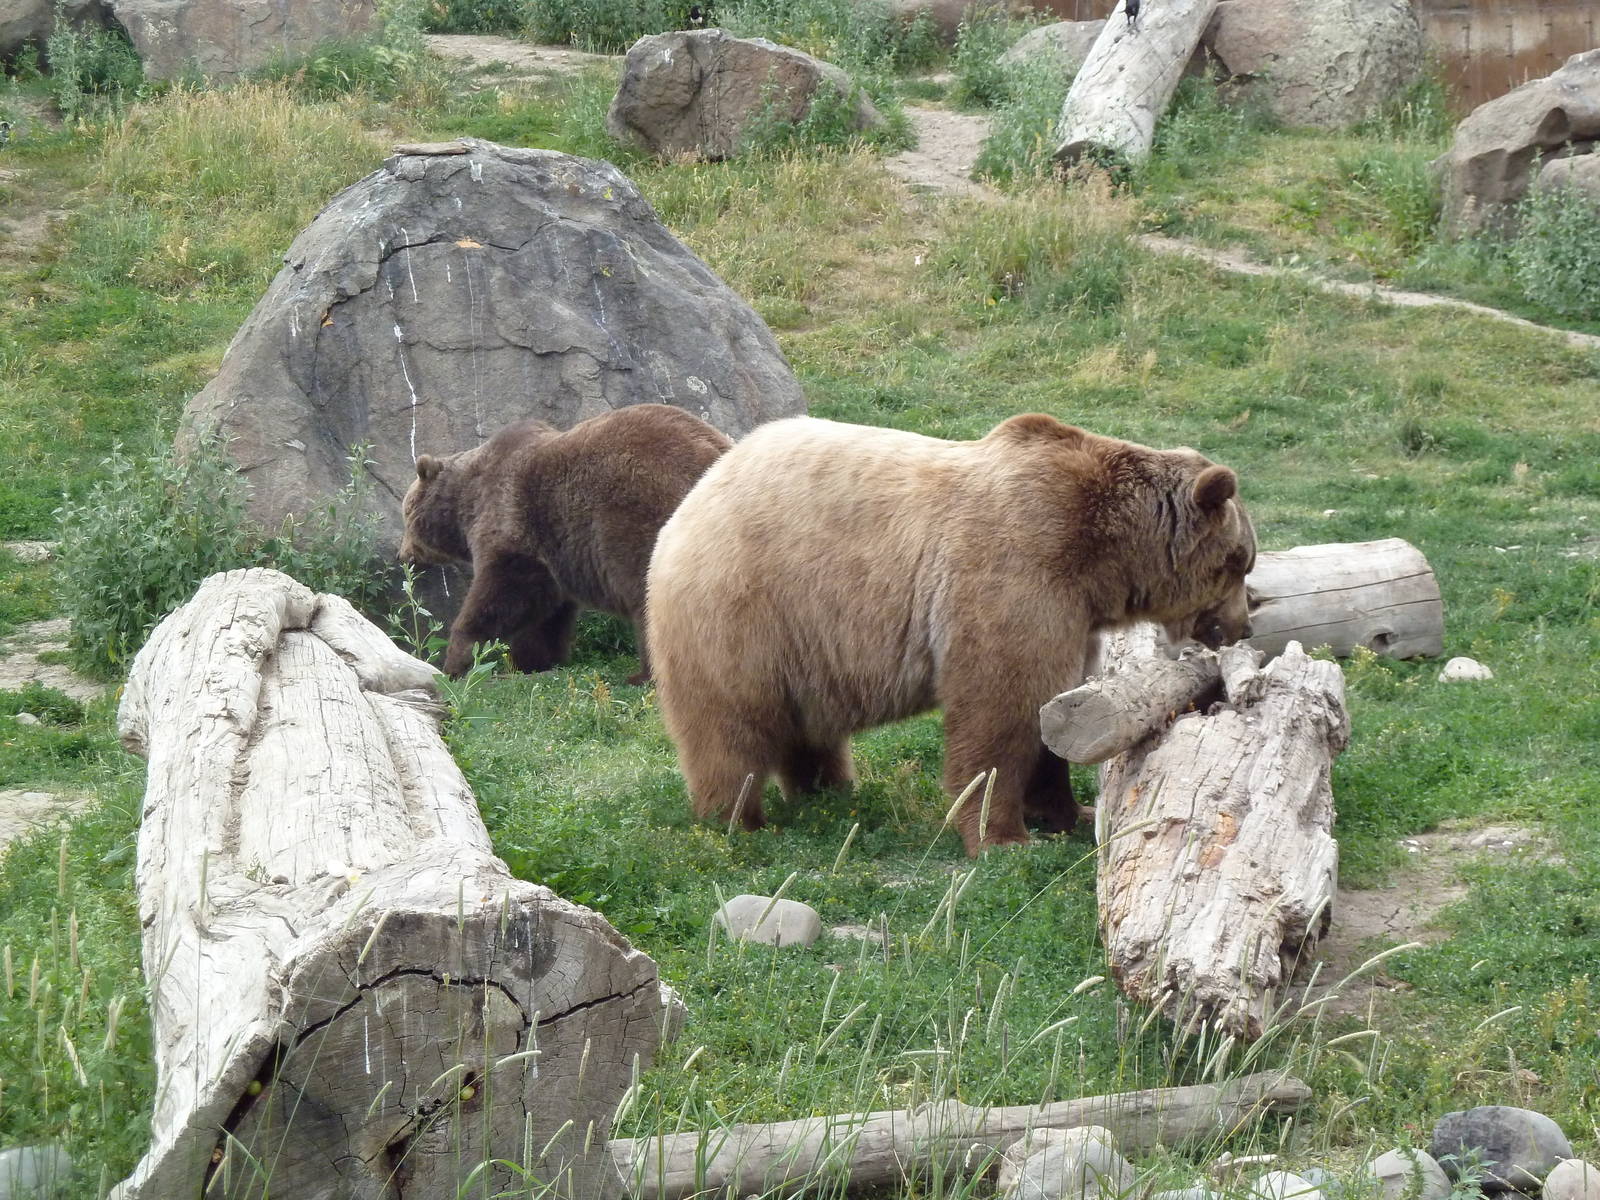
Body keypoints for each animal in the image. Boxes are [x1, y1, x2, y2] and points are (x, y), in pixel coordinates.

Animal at [400, 404, 732, 682]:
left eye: (404, 513)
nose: (403, 554)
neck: (465, 502)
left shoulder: (511, 522)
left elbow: (501, 592)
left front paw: (456, 661)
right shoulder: (554, 552)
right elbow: (546, 614)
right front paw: (534, 661)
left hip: (641, 517)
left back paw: (643, 675)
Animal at [644, 413, 1256, 856]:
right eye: (1240, 561)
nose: (1241, 626)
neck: (1100, 558)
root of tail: (694, 499)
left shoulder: (1072, 618)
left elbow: (1052, 710)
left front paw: (1067, 812)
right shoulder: (1015, 572)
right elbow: (999, 709)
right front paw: (1002, 837)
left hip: (805, 647)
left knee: (807, 729)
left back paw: (830, 789)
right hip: (745, 612)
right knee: (730, 728)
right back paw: (738, 820)